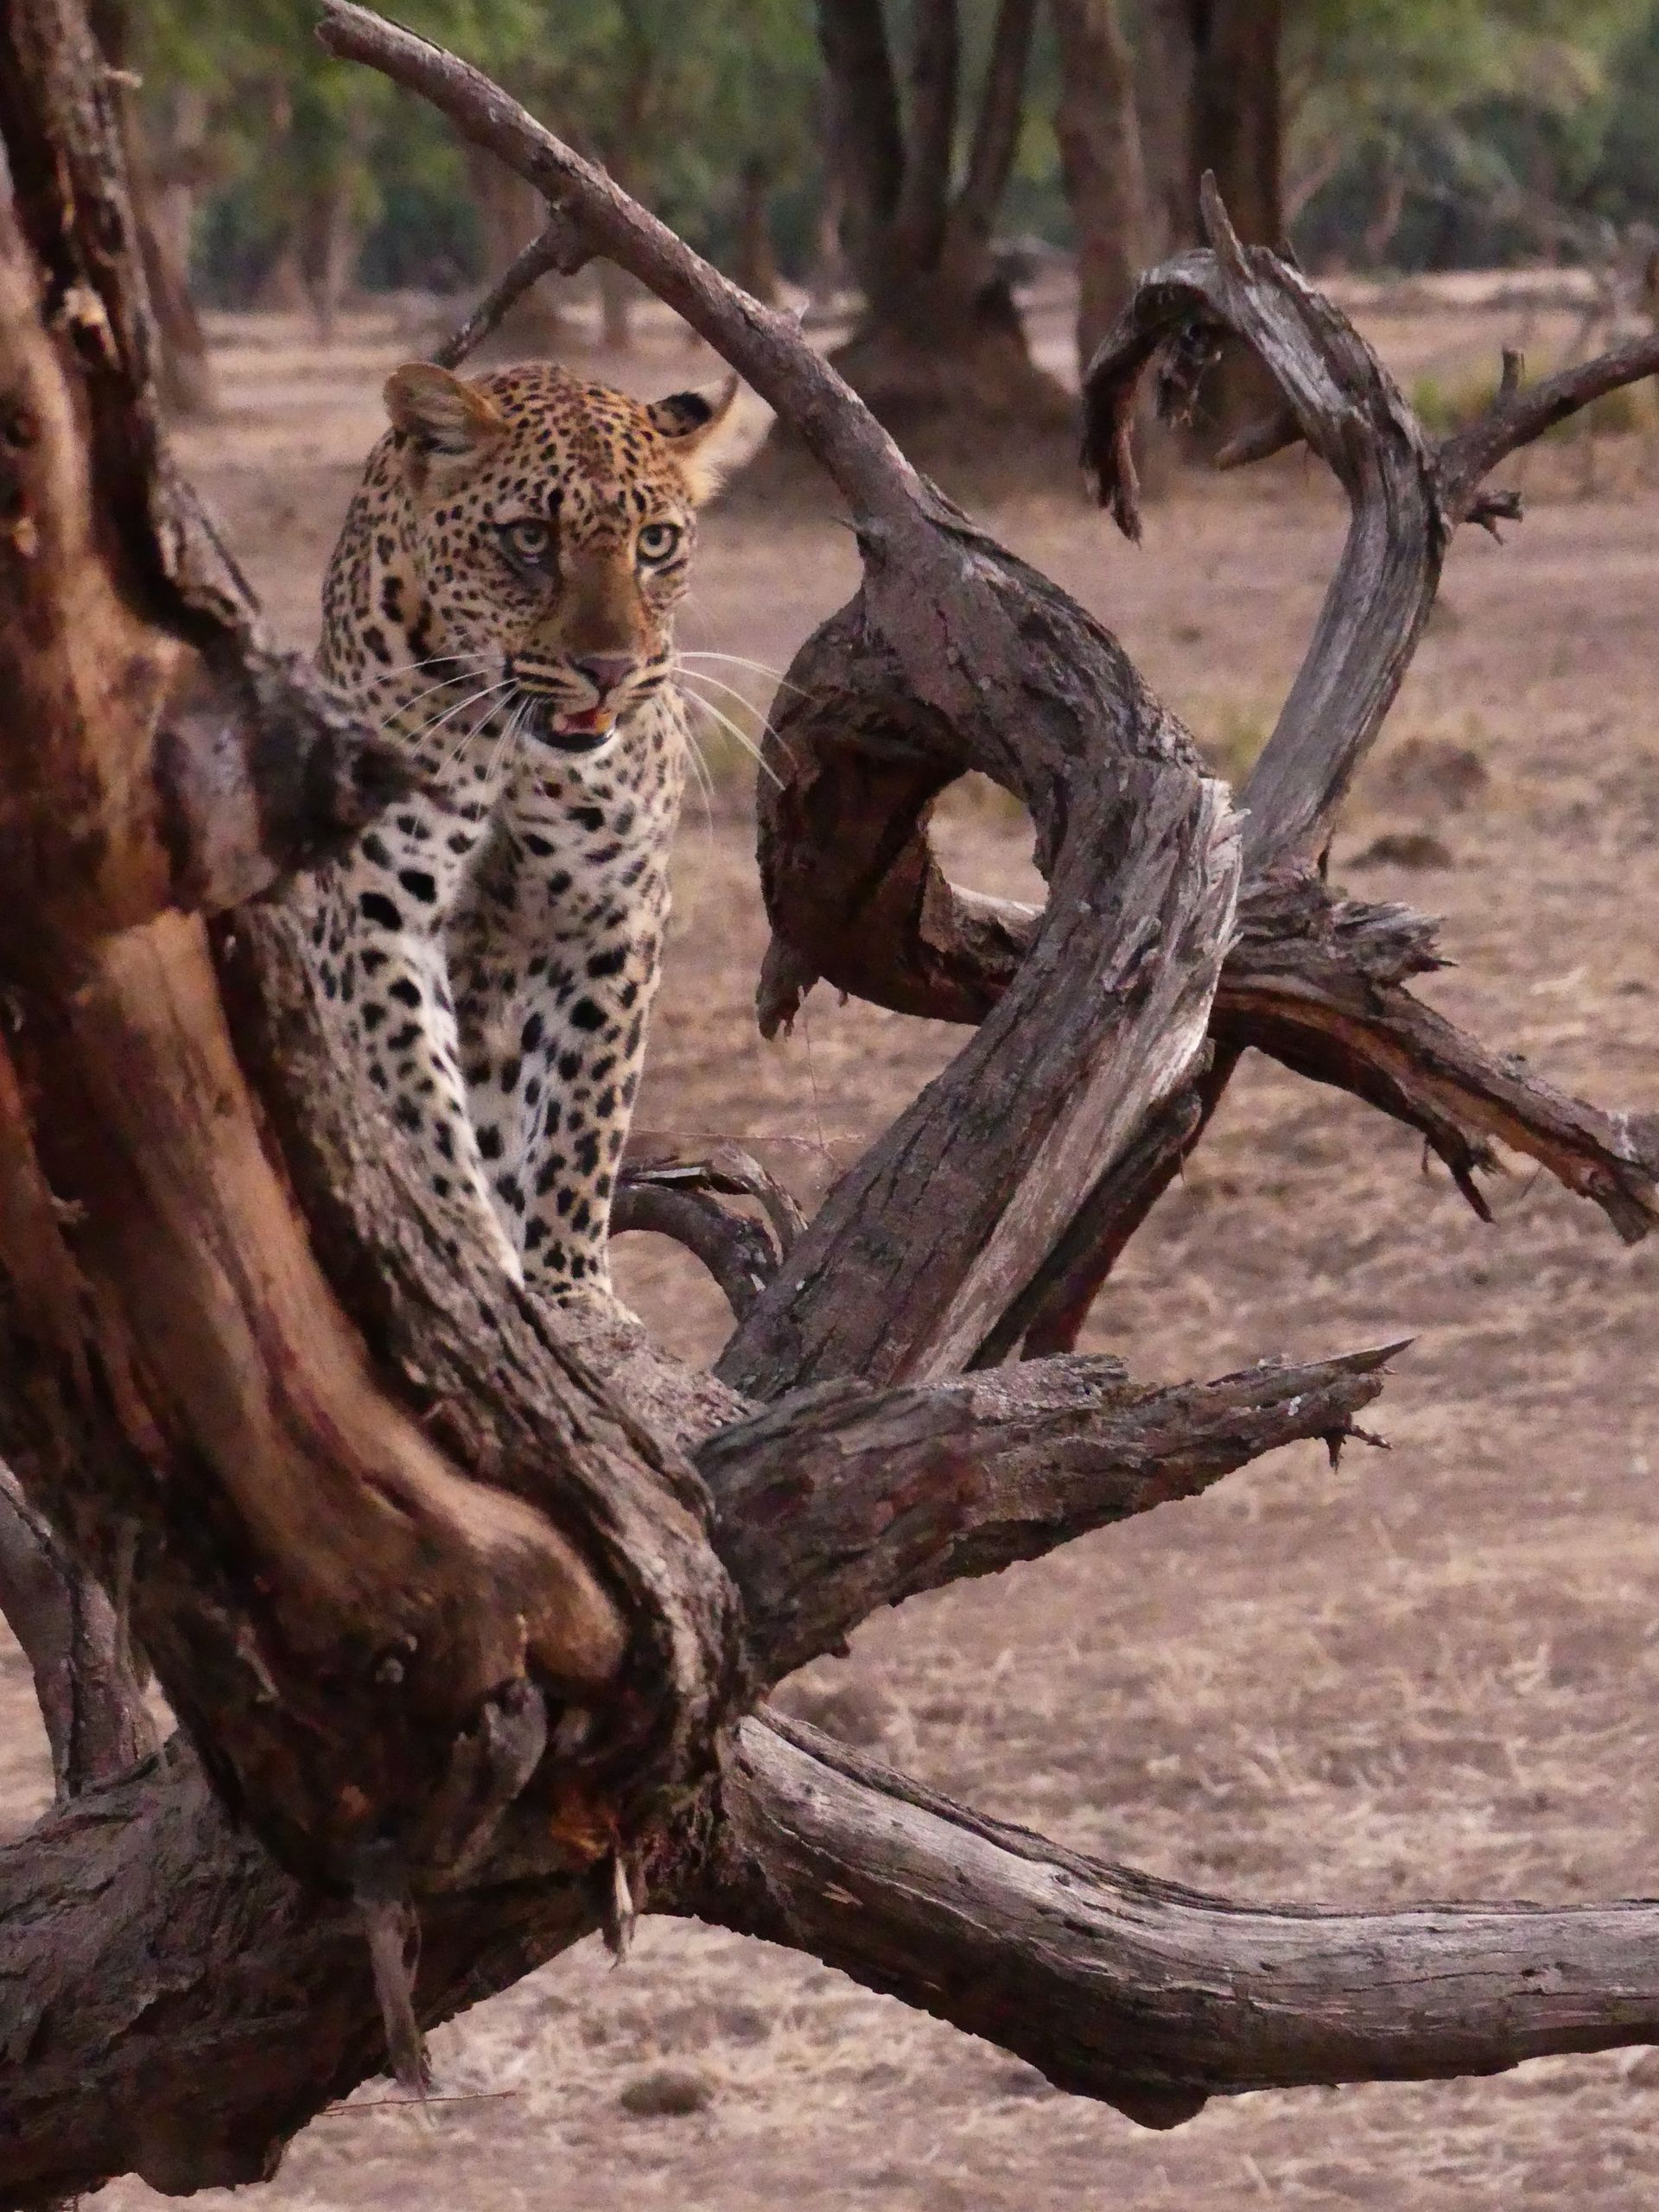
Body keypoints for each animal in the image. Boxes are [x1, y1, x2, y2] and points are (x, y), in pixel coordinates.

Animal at [299, 355, 738, 1299]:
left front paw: (573, 1286)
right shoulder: (380, 911)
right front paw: (472, 1253)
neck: (519, 752)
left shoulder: (614, 916)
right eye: (530, 539)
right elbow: (420, 1095)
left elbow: (583, 1115)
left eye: (655, 542)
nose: (609, 669)